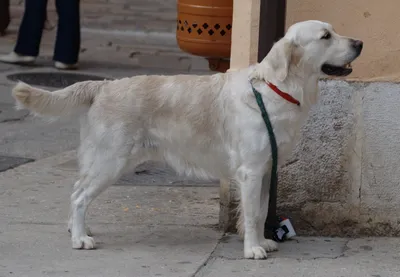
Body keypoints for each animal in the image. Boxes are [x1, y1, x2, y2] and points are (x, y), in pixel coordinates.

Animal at [11, 20, 362, 258]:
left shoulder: (264, 170)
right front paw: (252, 249)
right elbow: (251, 214)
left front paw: (262, 241)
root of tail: (104, 85)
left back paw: (77, 228)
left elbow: (261, 211)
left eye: (334, 31)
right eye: (326, 36)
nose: (359, 43)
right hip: (110, 161)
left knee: (76, 191)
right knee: (78, 196)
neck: (276, 88)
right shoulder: (250, 171)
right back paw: (79, 239)